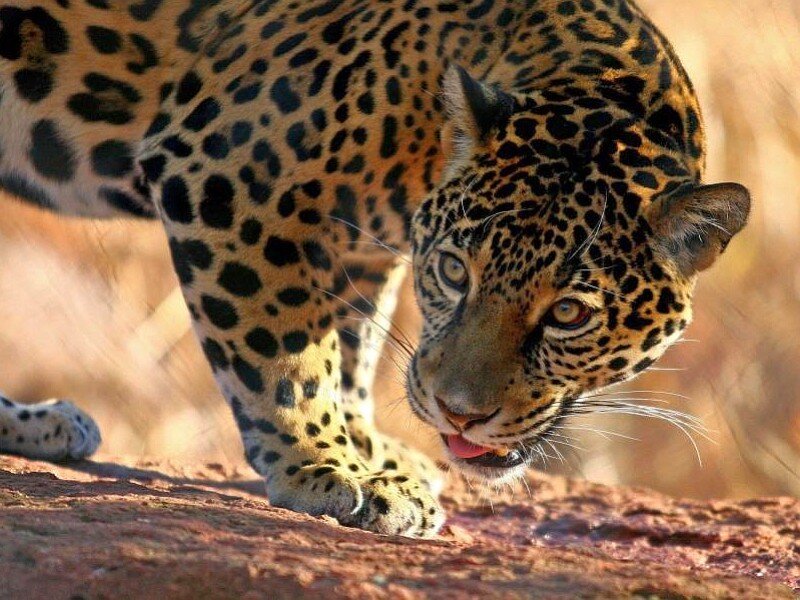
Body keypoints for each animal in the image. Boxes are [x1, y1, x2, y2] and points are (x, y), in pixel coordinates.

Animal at [0, 0, 750, 538]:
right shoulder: (225, 177)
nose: (460, 416)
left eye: (568, 313)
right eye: (454, 272)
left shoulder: (356, 245)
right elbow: (286, 352)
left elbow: (350, 344)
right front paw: (328, 466)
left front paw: (371, 452)